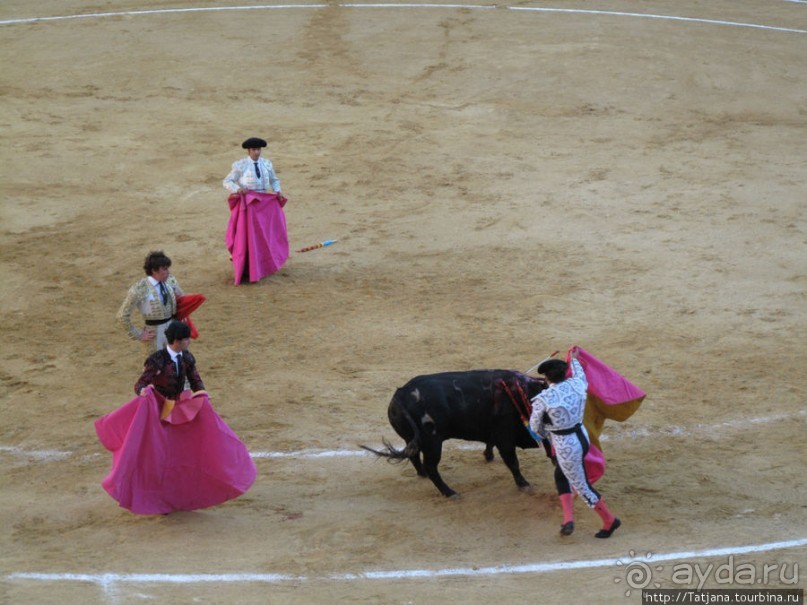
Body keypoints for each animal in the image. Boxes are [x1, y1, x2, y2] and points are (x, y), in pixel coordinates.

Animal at [364, 368, 548, 496]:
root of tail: (401, 394)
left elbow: (491, 444)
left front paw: (488, 455)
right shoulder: (505, 438)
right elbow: (513, 463)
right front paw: (524, 485)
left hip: (412, 438)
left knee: (414, 455)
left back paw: (423, 475)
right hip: (432, 443)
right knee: (431, 467)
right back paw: (449, 492)